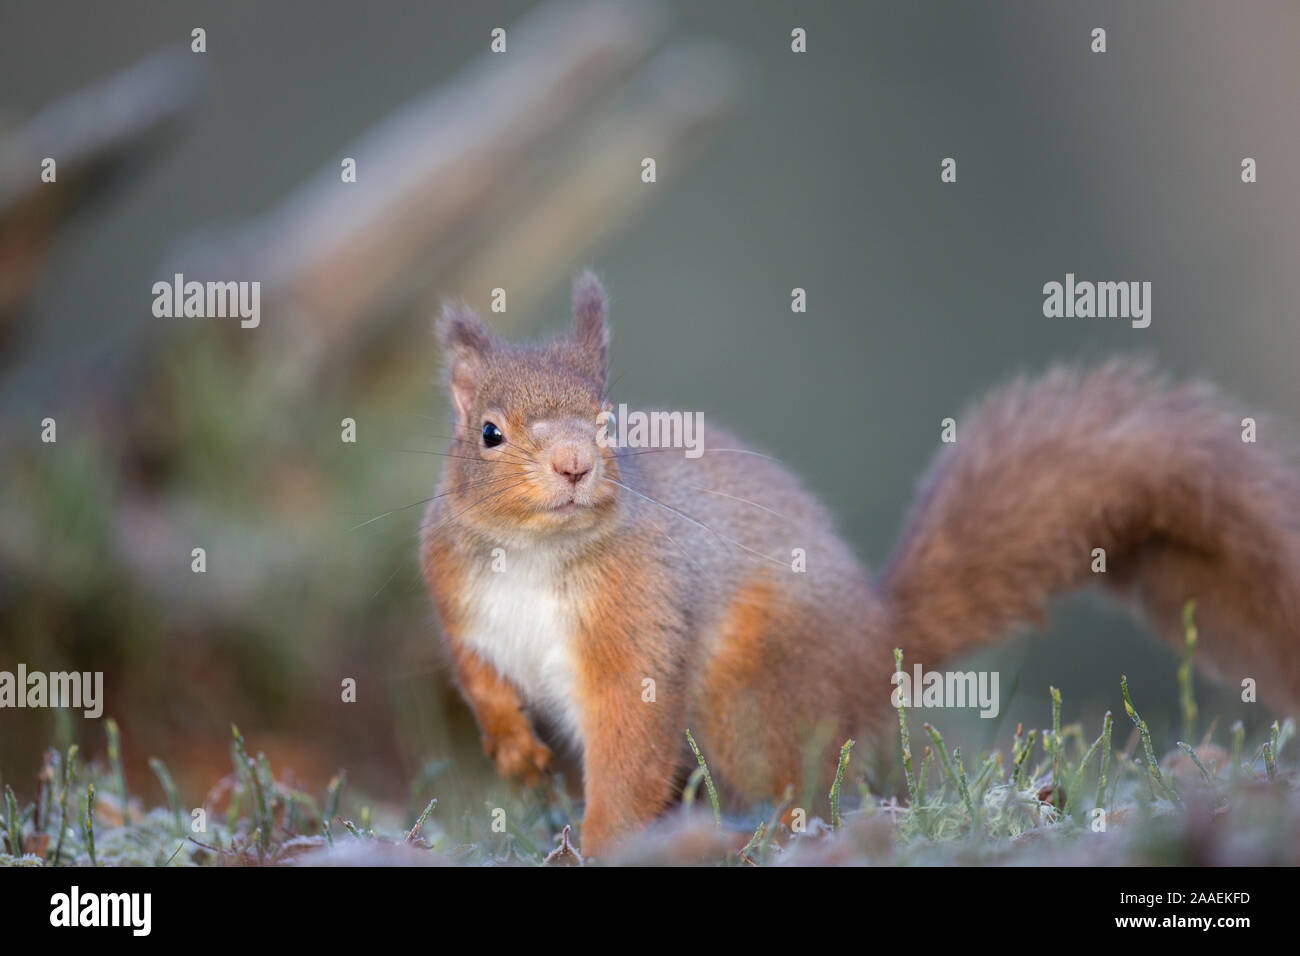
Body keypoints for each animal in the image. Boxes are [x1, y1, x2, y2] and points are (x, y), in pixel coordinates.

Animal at [423, 273, 1300, 858]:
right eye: (490, 432)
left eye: (607, 417)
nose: (575, 465)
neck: (537, 554)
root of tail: (881, 647)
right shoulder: (457, 596)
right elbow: (473, 671)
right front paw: (514, 749)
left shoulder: (639, 618)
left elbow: (630, 743)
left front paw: (602, 841)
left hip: (754, 692)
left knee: (805, 785)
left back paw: (765, 831)